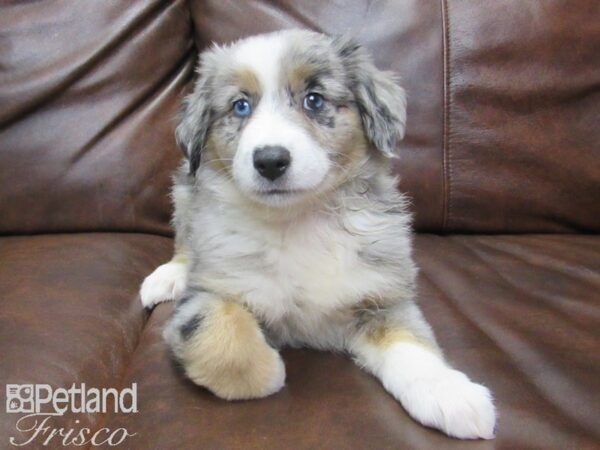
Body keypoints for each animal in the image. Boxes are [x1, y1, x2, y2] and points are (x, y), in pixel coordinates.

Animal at [141, 29, 496, 440]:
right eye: (240, 106)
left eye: (314, 99)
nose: (270, 160)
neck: (297, 220)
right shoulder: (211, 290)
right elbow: (221, 336)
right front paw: (270, 371)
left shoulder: (381, 295)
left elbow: (410, 341)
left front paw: (450, 394)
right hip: (185, 190)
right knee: (185, 240)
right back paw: (167, 276)